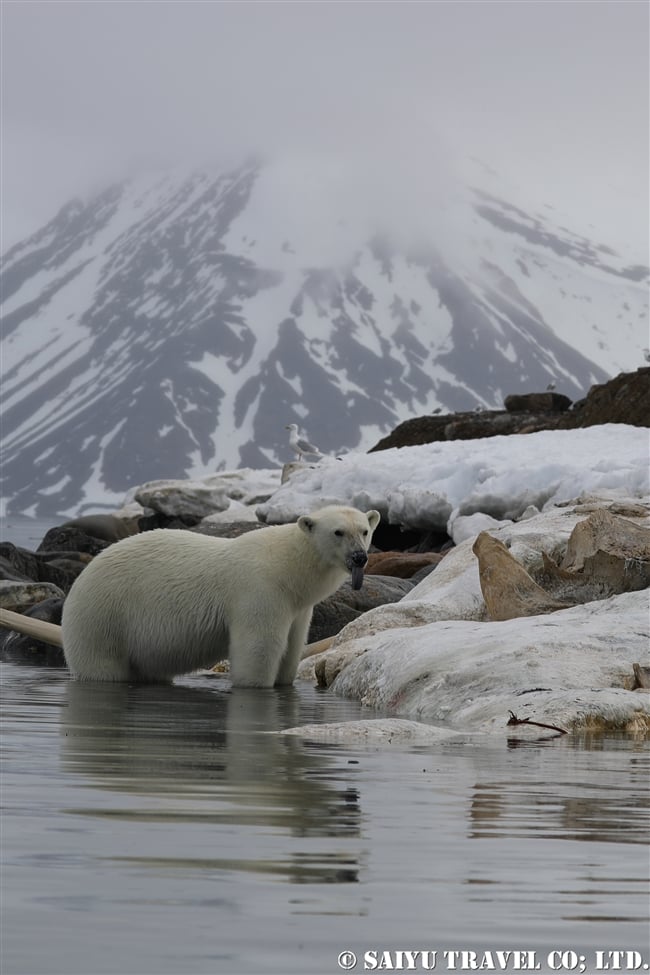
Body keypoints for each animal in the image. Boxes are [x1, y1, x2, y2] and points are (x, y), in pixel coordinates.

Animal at [60, 508, 380, 692]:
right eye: (338, 532)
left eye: (365, 530)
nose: (359, 557)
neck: (288, 567)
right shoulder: (259, 591)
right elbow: (259, 647)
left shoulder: (297, 607)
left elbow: (292, 648)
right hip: (104, 618)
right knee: (102, 667)